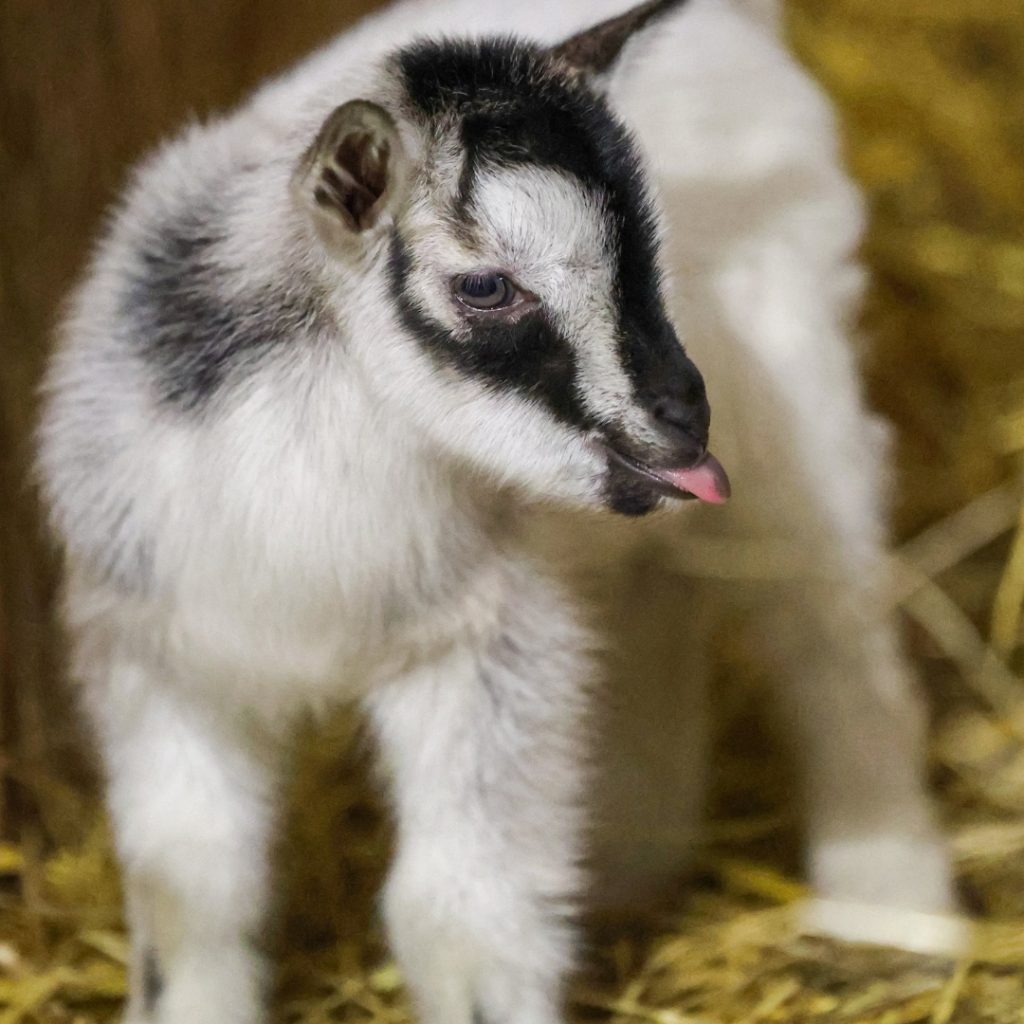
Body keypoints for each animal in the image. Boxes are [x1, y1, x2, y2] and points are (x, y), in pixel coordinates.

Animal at [36, 1, 961, 1023]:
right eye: (486, 286)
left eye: (649, 262)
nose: (683, 419)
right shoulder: (163, 658)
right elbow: (189, 894)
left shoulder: (487, 650)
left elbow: (457, 911)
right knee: (663, 611)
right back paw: (634, 867)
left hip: (801, 414)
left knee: (832, 644)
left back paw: (892, 913)